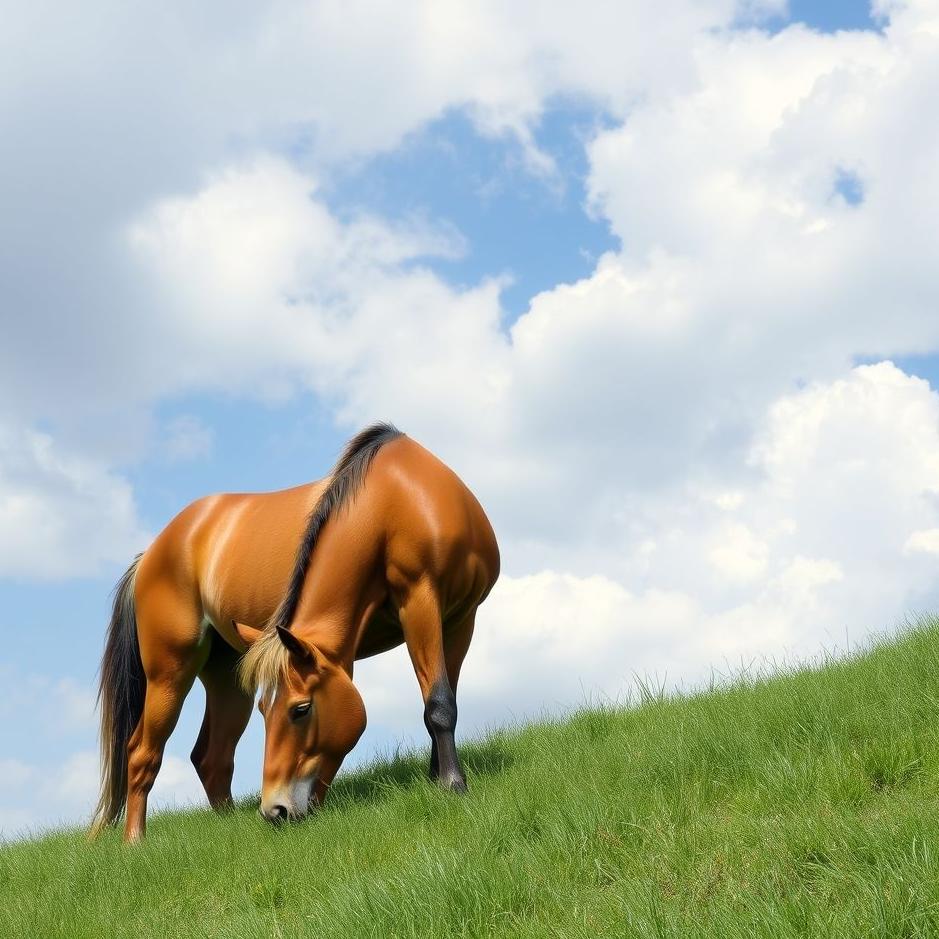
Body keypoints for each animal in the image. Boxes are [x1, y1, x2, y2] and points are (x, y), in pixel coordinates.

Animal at [90, 424, 500, 842]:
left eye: (300, 709)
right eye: (266, 711)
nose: (275, 811)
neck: (400, 501)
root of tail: (149, 556)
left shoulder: (457, 617)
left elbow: (441, 700)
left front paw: (443, 781)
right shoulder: (420, 604)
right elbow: (438, 703)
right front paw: (453, 784)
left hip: (225, 675)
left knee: (211, 757)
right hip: (170, 672)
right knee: (142, 751)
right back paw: (135, 842)